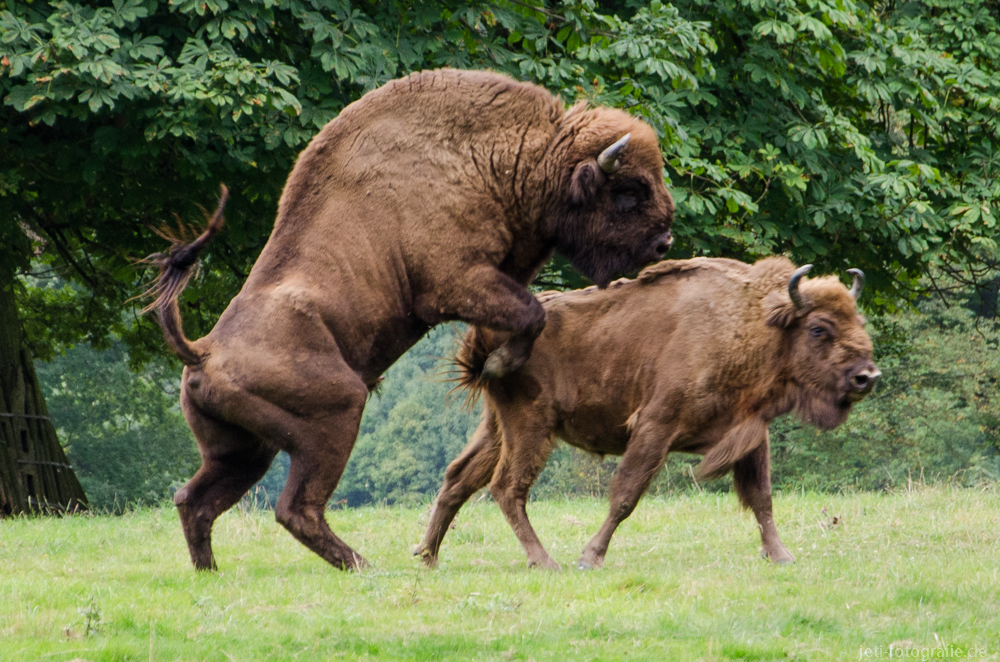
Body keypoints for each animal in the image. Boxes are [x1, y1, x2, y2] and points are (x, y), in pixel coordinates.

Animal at [145, 70, 676, 572]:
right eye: (627, 192)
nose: (663, 243)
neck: (512, 157)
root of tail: (203, 350)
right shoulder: (456, 284)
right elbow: (532, 313)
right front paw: (499, 365)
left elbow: (524, 315)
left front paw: (494, 363)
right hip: (335, 415)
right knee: (295, 507)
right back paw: (362, 565)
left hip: (244, 450)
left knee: (195, 500)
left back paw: (211, 572)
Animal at [418, 258, 880, 572]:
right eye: (819, 328)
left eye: (858, 320)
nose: (867, 376)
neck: (750, 323)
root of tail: (486, 338)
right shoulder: (655, 427)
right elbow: (626, 495)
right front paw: (590, 557)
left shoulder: (750, 433)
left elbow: (762, 497)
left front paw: (781, 555)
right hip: (531, 426)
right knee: (507, 487)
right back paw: (545, 561)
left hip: (498, 427)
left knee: (459, 478)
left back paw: (427, 556)